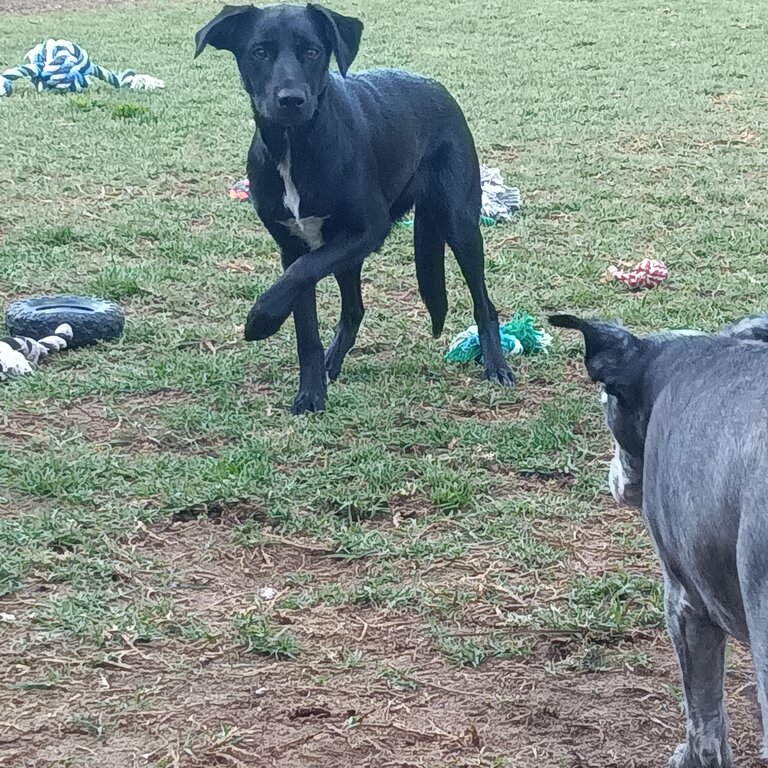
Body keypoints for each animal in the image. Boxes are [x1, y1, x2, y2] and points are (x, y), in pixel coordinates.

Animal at [195, 3, 512, 412]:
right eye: (259, 51)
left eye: (313, 51)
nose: (291, 100)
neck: (295, 147)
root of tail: (435, 85)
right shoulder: (295, 246)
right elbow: (304, 316)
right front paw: (310, 393)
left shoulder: (368, 230)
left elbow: (300, 273)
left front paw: (261, 320)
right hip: (350, 252)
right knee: (353, 310)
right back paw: (331, 365)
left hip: (458, 224)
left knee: (484, 304)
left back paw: (497, 366)